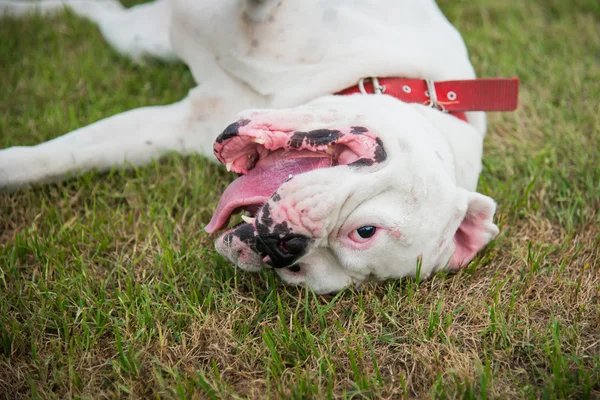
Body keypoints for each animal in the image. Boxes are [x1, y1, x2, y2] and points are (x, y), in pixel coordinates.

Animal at [0, 0, 516, 294]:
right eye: (365, 231)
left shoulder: (174, 125)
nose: (283, 249)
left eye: (301, 275)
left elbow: (60, 156)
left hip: (136, 38)